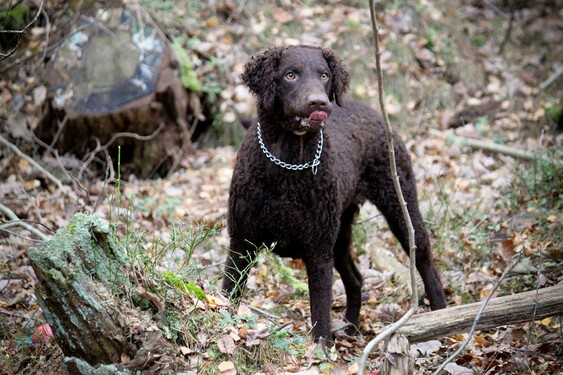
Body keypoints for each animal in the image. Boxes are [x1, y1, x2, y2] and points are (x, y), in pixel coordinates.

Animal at [223, 45, 448, 342]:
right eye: (290, 75)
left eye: (324, 75)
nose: (319, 103)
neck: (288, 164)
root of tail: (369, 109)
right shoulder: (241, 240)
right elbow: (230, 291)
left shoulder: (318, 250)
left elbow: (320, 309)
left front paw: (320, 348)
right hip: (340, 232)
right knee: (355, 279)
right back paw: (351, 328)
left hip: (399, 201)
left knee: (423, 255)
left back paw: (440, 314)